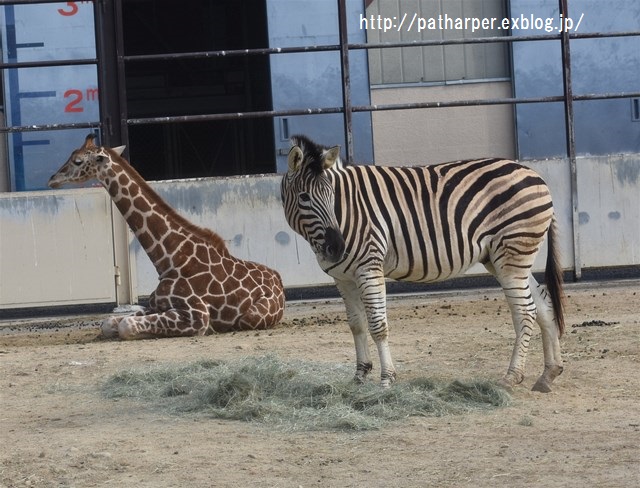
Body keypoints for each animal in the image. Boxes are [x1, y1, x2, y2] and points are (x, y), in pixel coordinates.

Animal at [47, 133, 282, 340]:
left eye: (77, 160)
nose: (52, 179)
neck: (169, 258)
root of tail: (278, 278)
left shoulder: (197, 315)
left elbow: (126, 325)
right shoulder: (154, 305)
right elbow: (109, 323)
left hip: (251, 317)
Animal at [280, 133, 564, 392]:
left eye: (332, 195)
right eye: (304, 197)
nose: (336, 248)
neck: (347, 213)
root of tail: (536, 176)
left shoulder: (369, 268)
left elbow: (378, 325)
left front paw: (386, 380)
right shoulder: (342, 277)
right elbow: (356, 325)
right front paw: (359, 377)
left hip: (512, 254)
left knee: (525, 311)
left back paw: (511, 377)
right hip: (504, 258)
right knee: (543, 305)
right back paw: (548, 374)